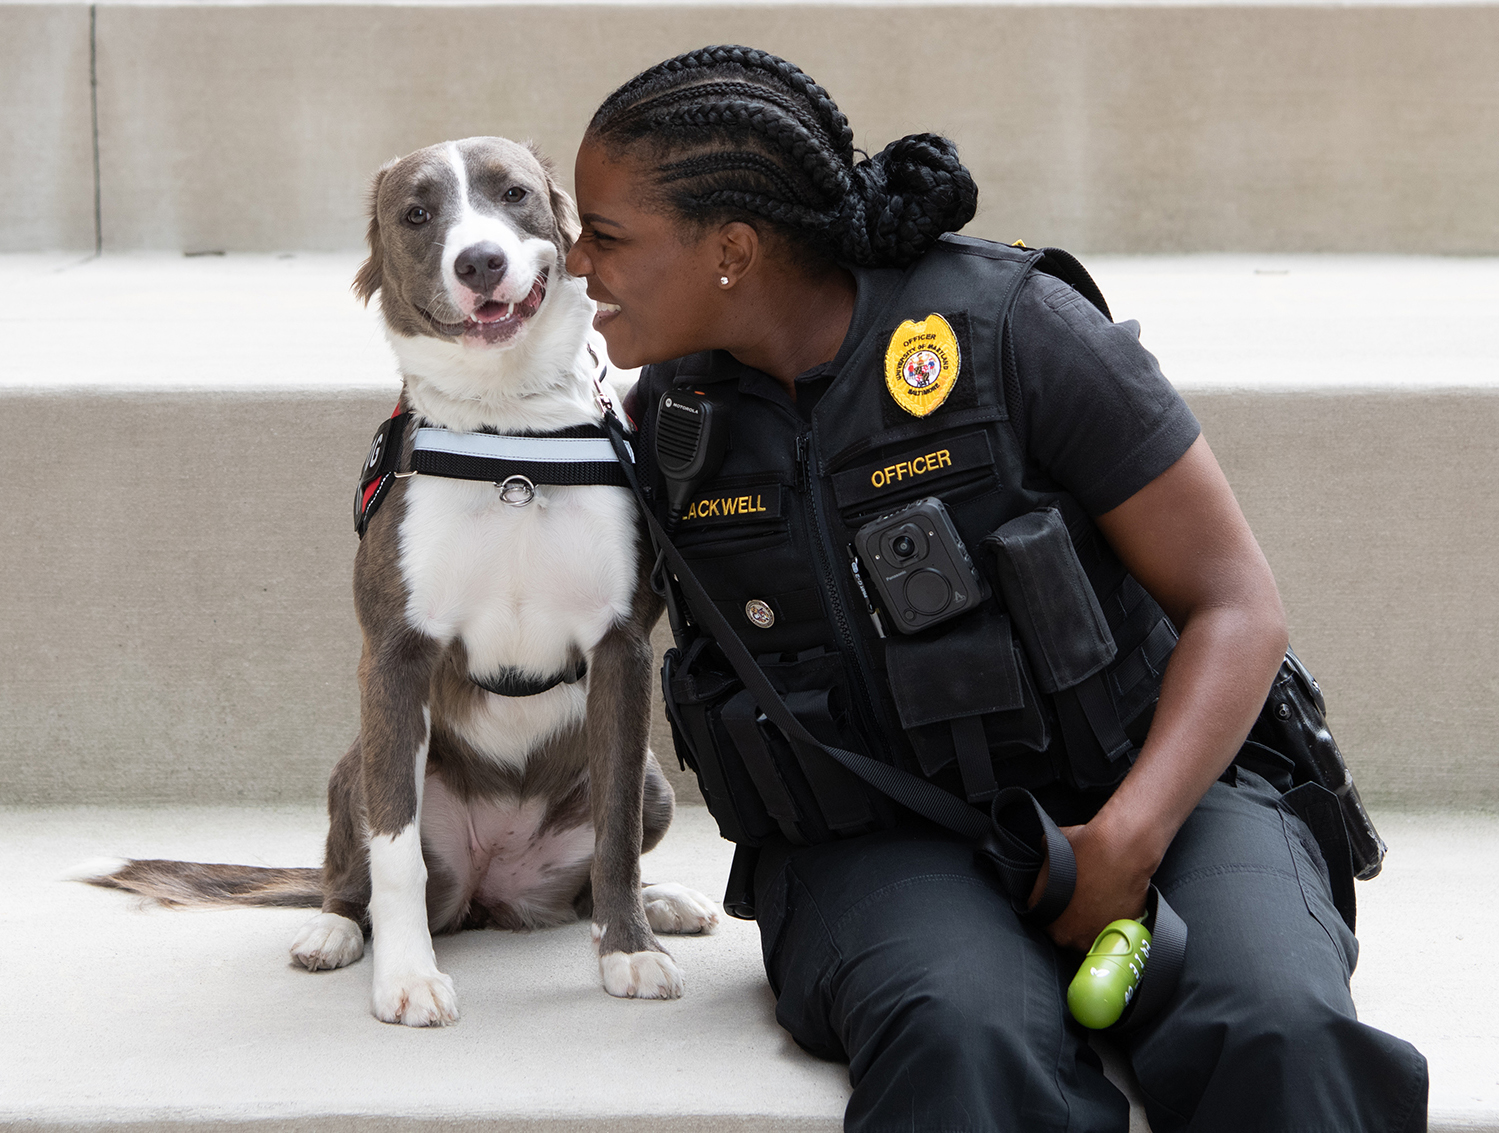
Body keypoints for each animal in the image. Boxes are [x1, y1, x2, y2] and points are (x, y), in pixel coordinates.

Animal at [87, 139, 719, 1025]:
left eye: (513, 194)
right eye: (417, 214)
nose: (480, 259)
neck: (510, 441)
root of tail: (495, 886)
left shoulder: (621, 650)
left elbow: (617, 835)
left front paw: (630, 950)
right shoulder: (393, 656)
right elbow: (395, 856)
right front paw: (408, 976)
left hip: (657, 781)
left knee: (593, 874)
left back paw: (661, 903)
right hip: (353, 764)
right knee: (352, 872)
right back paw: (334, 929)